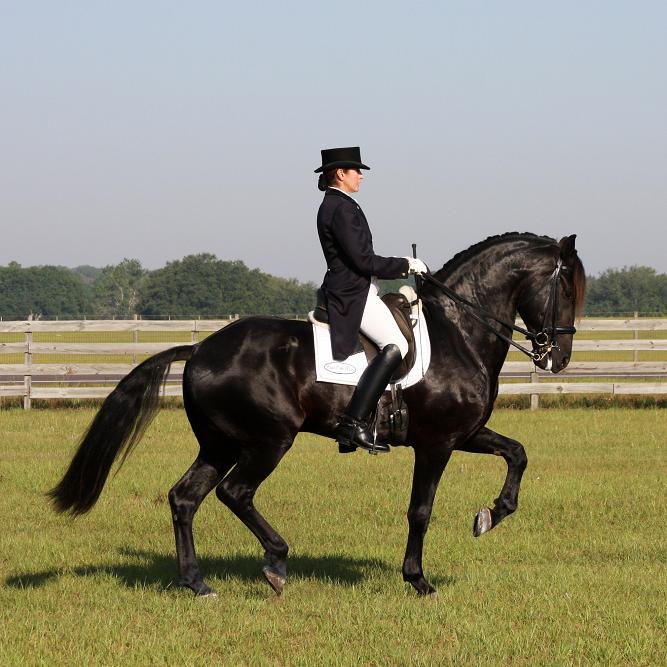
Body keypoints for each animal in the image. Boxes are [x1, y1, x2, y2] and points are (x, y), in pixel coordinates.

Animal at [51, 232, 584, 596]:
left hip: (220, 443)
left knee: (185, 497)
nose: (557, 359)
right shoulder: (436, 444)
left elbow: (518, 454)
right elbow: (421, 511)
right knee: (234, 492)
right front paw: (418, 580)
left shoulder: (464, 432)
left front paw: (489, 515)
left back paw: (197, 584)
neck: (459, 330)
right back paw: (276, 563)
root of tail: (200, 348)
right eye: (567, 290)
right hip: (267, 441)